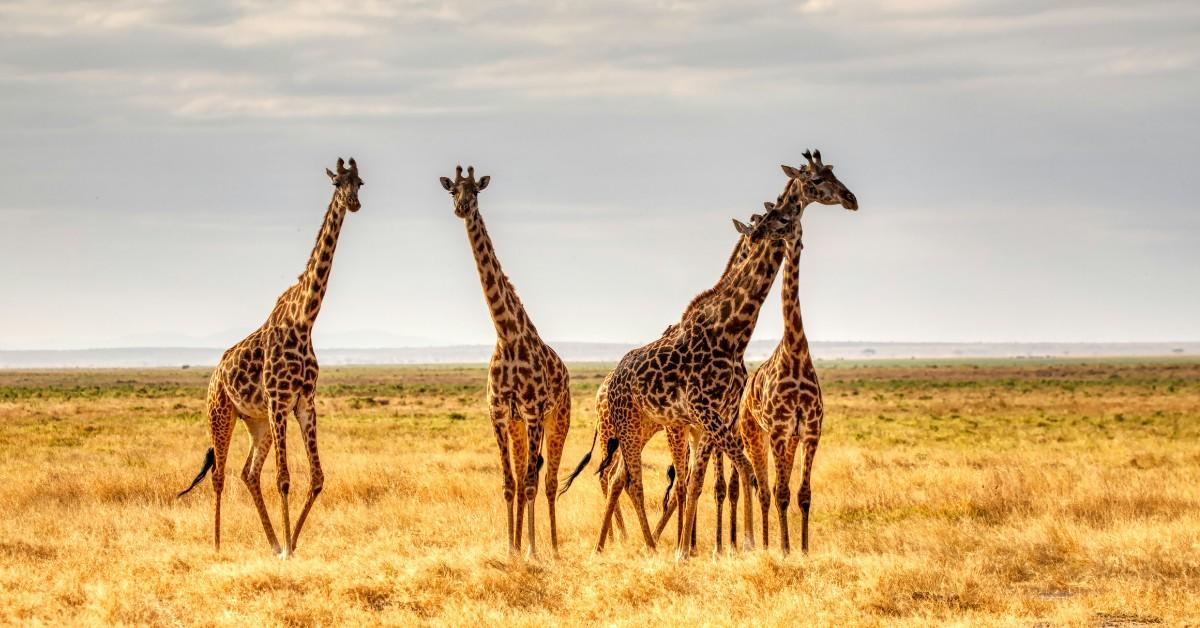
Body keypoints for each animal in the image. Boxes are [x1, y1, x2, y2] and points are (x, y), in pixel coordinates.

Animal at [178, 158, 364, 558]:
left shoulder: (303, 402)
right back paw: (217, 545)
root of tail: (215, 374)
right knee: (219, 474)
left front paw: (289, 544)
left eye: (360, 182)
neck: (305, 319)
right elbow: (284, 478)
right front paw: (290, 549)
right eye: (337, 183)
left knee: (248, 472)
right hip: (221, 413)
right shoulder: (279, 401)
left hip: (257, 421)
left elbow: (317, 477)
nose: (354, 203)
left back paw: (272, 541)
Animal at [439, 165, 571, 558]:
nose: (462, 208)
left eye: (476, 191)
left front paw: (531, 551)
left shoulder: (533, 412)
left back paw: (553, 548)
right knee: (527, 473)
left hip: (558, 419)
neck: (507, 335)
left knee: (548, 480)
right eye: (452, 190)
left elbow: (529, 482)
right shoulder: (499, 414)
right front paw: (510, 549)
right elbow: (509, 482)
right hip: (518, 426)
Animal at [566, 204, 799, 560]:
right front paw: (729, 545)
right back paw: (639, 544)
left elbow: (698, 482)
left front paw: (695, 547)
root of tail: (607, 383)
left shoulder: (712, 420)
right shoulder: (699, 418)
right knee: (624, 478)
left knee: (622, 476)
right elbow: (719, 477)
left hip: (642, 427)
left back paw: (621, 544)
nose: (792, 220)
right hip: (624, 428)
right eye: (775, 220)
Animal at [728, 149, 858, 554]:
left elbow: (804, 494)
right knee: (761, 488)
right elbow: (780, 492)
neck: (796, 350)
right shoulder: (781, 430)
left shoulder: (811, 431)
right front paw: (784, 550)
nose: (852, 199)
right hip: (756, 435)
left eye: (829, 175)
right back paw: (761, 544)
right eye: (815, 178)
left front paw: (801, 550)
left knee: (762, 487)